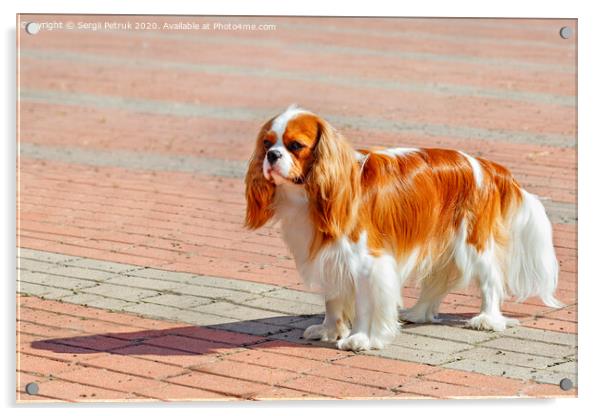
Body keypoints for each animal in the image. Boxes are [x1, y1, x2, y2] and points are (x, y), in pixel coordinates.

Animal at [241, 105, 560, 352]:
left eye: (295, 145)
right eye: (267, 143)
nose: (272, 156)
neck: (311, 194)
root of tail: (486, 165)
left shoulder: (367, 263)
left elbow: (365, 304)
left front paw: (359, 339)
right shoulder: (331, 257)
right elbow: (333, 299)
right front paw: (330, 331)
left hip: (473, 243)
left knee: (490, 280)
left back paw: (487, 320)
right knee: (438, 280)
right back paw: (419, 314)